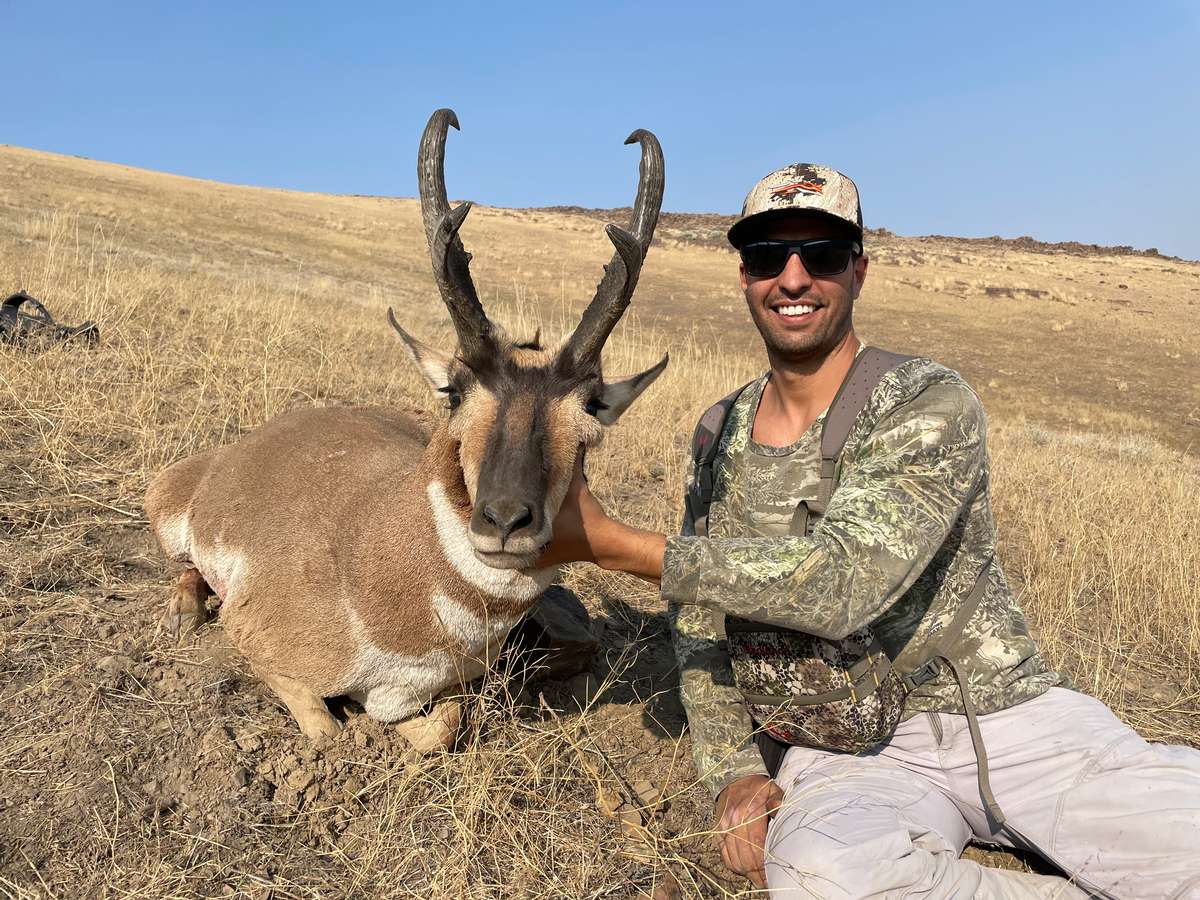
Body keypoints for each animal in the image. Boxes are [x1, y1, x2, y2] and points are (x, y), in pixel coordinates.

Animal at [142, 107, 667, 748]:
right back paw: (184, 612)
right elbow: (328, 729)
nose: (505, 521)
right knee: (183, 565)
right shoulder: (259, 642)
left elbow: (442, 725)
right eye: (455, 393)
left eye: (589, 415)